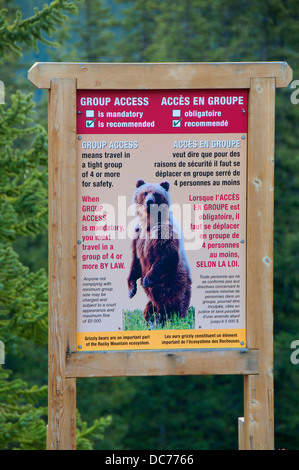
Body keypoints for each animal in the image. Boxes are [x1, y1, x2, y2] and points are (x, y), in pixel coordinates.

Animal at [127, 180, 193, 326]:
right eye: (145, 192)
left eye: (156, 193)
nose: (149, 201)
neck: (149, 223)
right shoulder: (138, 236)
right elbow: (136, 262)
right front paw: (131, 290)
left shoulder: (164, 232)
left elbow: (168, 256)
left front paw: (147, 280)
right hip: (154, 299)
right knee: (149, 309)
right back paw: (150, 322)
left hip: (174, 285)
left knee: (169, 306)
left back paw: (165, 320)